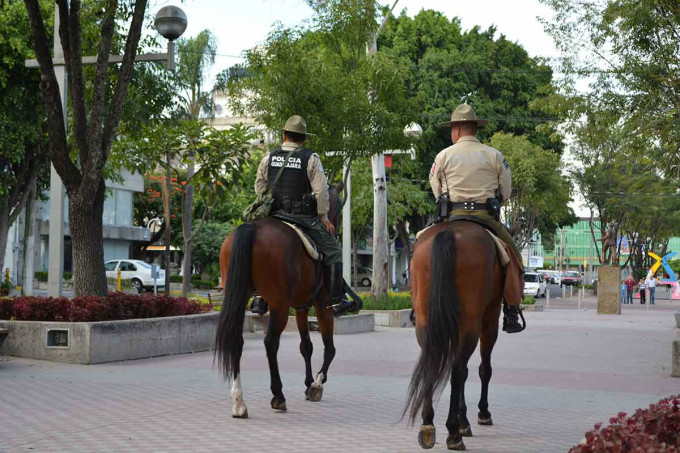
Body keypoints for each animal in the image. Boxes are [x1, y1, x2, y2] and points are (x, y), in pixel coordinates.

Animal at [215, 183, 346, 416]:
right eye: (339, 208)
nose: (335, 230)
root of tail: (252, 229)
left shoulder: (302, 307)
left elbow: (306, 346)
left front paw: (308, 382)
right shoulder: (322, 304)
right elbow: (329, 348)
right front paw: (317, 383)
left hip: (240, 296)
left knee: (236, 341)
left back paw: (239, 401)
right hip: (280, 305)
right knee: (270, 342)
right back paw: (278, 395)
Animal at [404, 219, 504, 448]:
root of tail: (449, 232)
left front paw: (463, 419)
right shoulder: (491, 319)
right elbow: (483, 369)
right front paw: (479, 414)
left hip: (425, 321)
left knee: (433, 362)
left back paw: (428, 425)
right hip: (471, 324)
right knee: (458, 369)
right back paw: (453, 433)